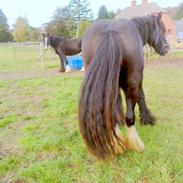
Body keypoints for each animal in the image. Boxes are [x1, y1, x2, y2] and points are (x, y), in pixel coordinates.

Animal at [78, 12, 169, 159]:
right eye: (163, 29)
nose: (167, 49)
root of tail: (110, 32)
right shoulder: (139, 79)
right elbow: (142, 96)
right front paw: (147, 119)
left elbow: (117, 103)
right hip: (132, 82)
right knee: (130, 117)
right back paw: (136, 144)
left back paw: (116, 143)